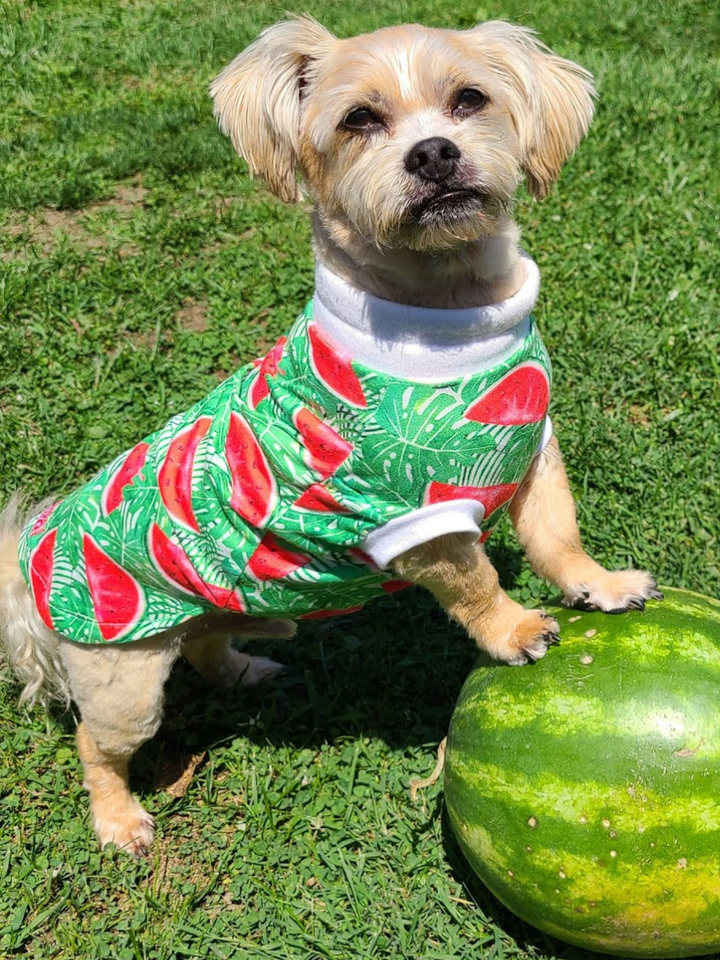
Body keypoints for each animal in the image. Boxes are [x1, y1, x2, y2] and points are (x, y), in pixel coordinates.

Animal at [0, 16, 664, 856]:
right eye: (359, 120)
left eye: (469, 99)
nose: (433, 152)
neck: (449, 317)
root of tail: (30, 561)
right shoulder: (416, 523)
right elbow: (476, 582)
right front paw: (512, 628)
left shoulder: (533, 449)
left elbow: (558, 536)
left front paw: (599, 585)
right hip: (123, 677)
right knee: (97, 743)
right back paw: (118, 819)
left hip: (218, 603)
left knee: (207, 644)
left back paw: (246, 669)